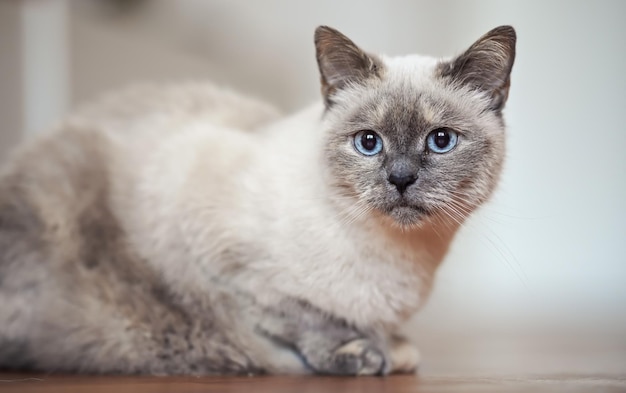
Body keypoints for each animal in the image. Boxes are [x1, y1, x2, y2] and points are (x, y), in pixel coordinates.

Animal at [0, 24, 512, 374]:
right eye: (369, 143)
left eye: (440, 141)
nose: (401, 178)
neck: (401, 260)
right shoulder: (223, 262)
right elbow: (297, 314)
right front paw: (361, 353)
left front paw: (392, 347)